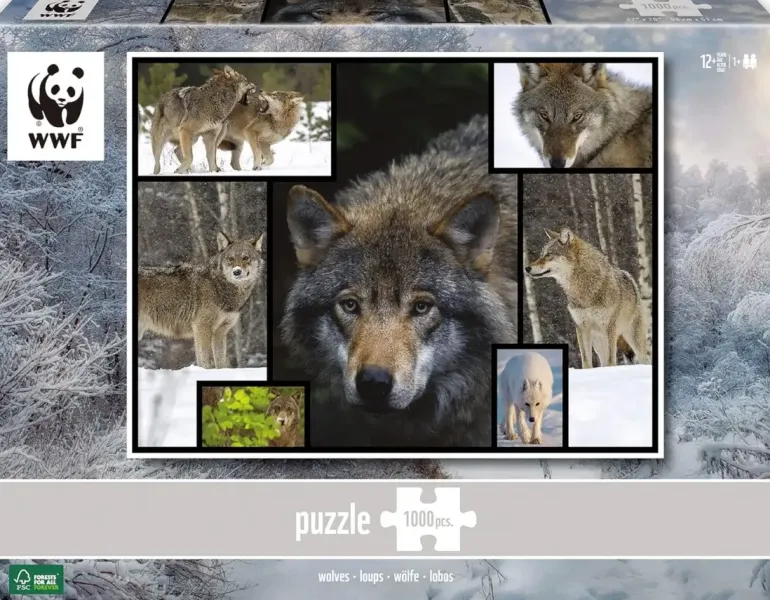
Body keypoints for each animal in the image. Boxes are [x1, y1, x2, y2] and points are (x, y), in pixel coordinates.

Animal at [138, 231, 266, 369]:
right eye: (231, 258)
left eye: (246, 258)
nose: (236, 272)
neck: (219, 287)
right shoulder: (202, 328)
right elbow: (207, 362)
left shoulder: (220, 332)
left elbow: (221, 363)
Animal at [525, 228, 650, 368]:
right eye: (542, 254)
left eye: (548, 254)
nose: (527, 268)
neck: (584, 290)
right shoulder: (581, 327)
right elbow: (586, 362)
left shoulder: (609, 327)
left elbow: (611, 362)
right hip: (598, 343)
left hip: (633, 340)